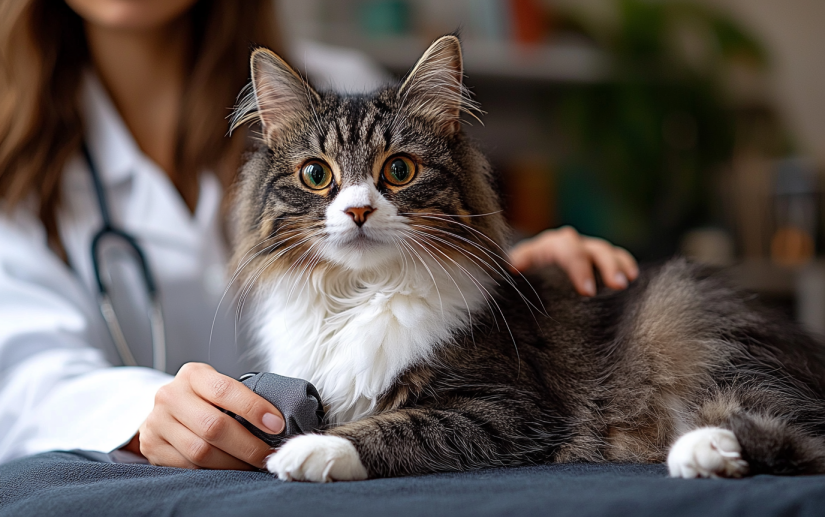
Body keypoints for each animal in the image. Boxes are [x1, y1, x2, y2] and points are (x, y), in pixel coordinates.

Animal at [227, 35, 824, 480]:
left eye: (398, 170)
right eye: (316, 174)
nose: (357, 211)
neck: (358, 295)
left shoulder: (511, 407)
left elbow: (400, 426)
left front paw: (312, 449)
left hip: (695, 329)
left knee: (799, 433)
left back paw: (702, 448)